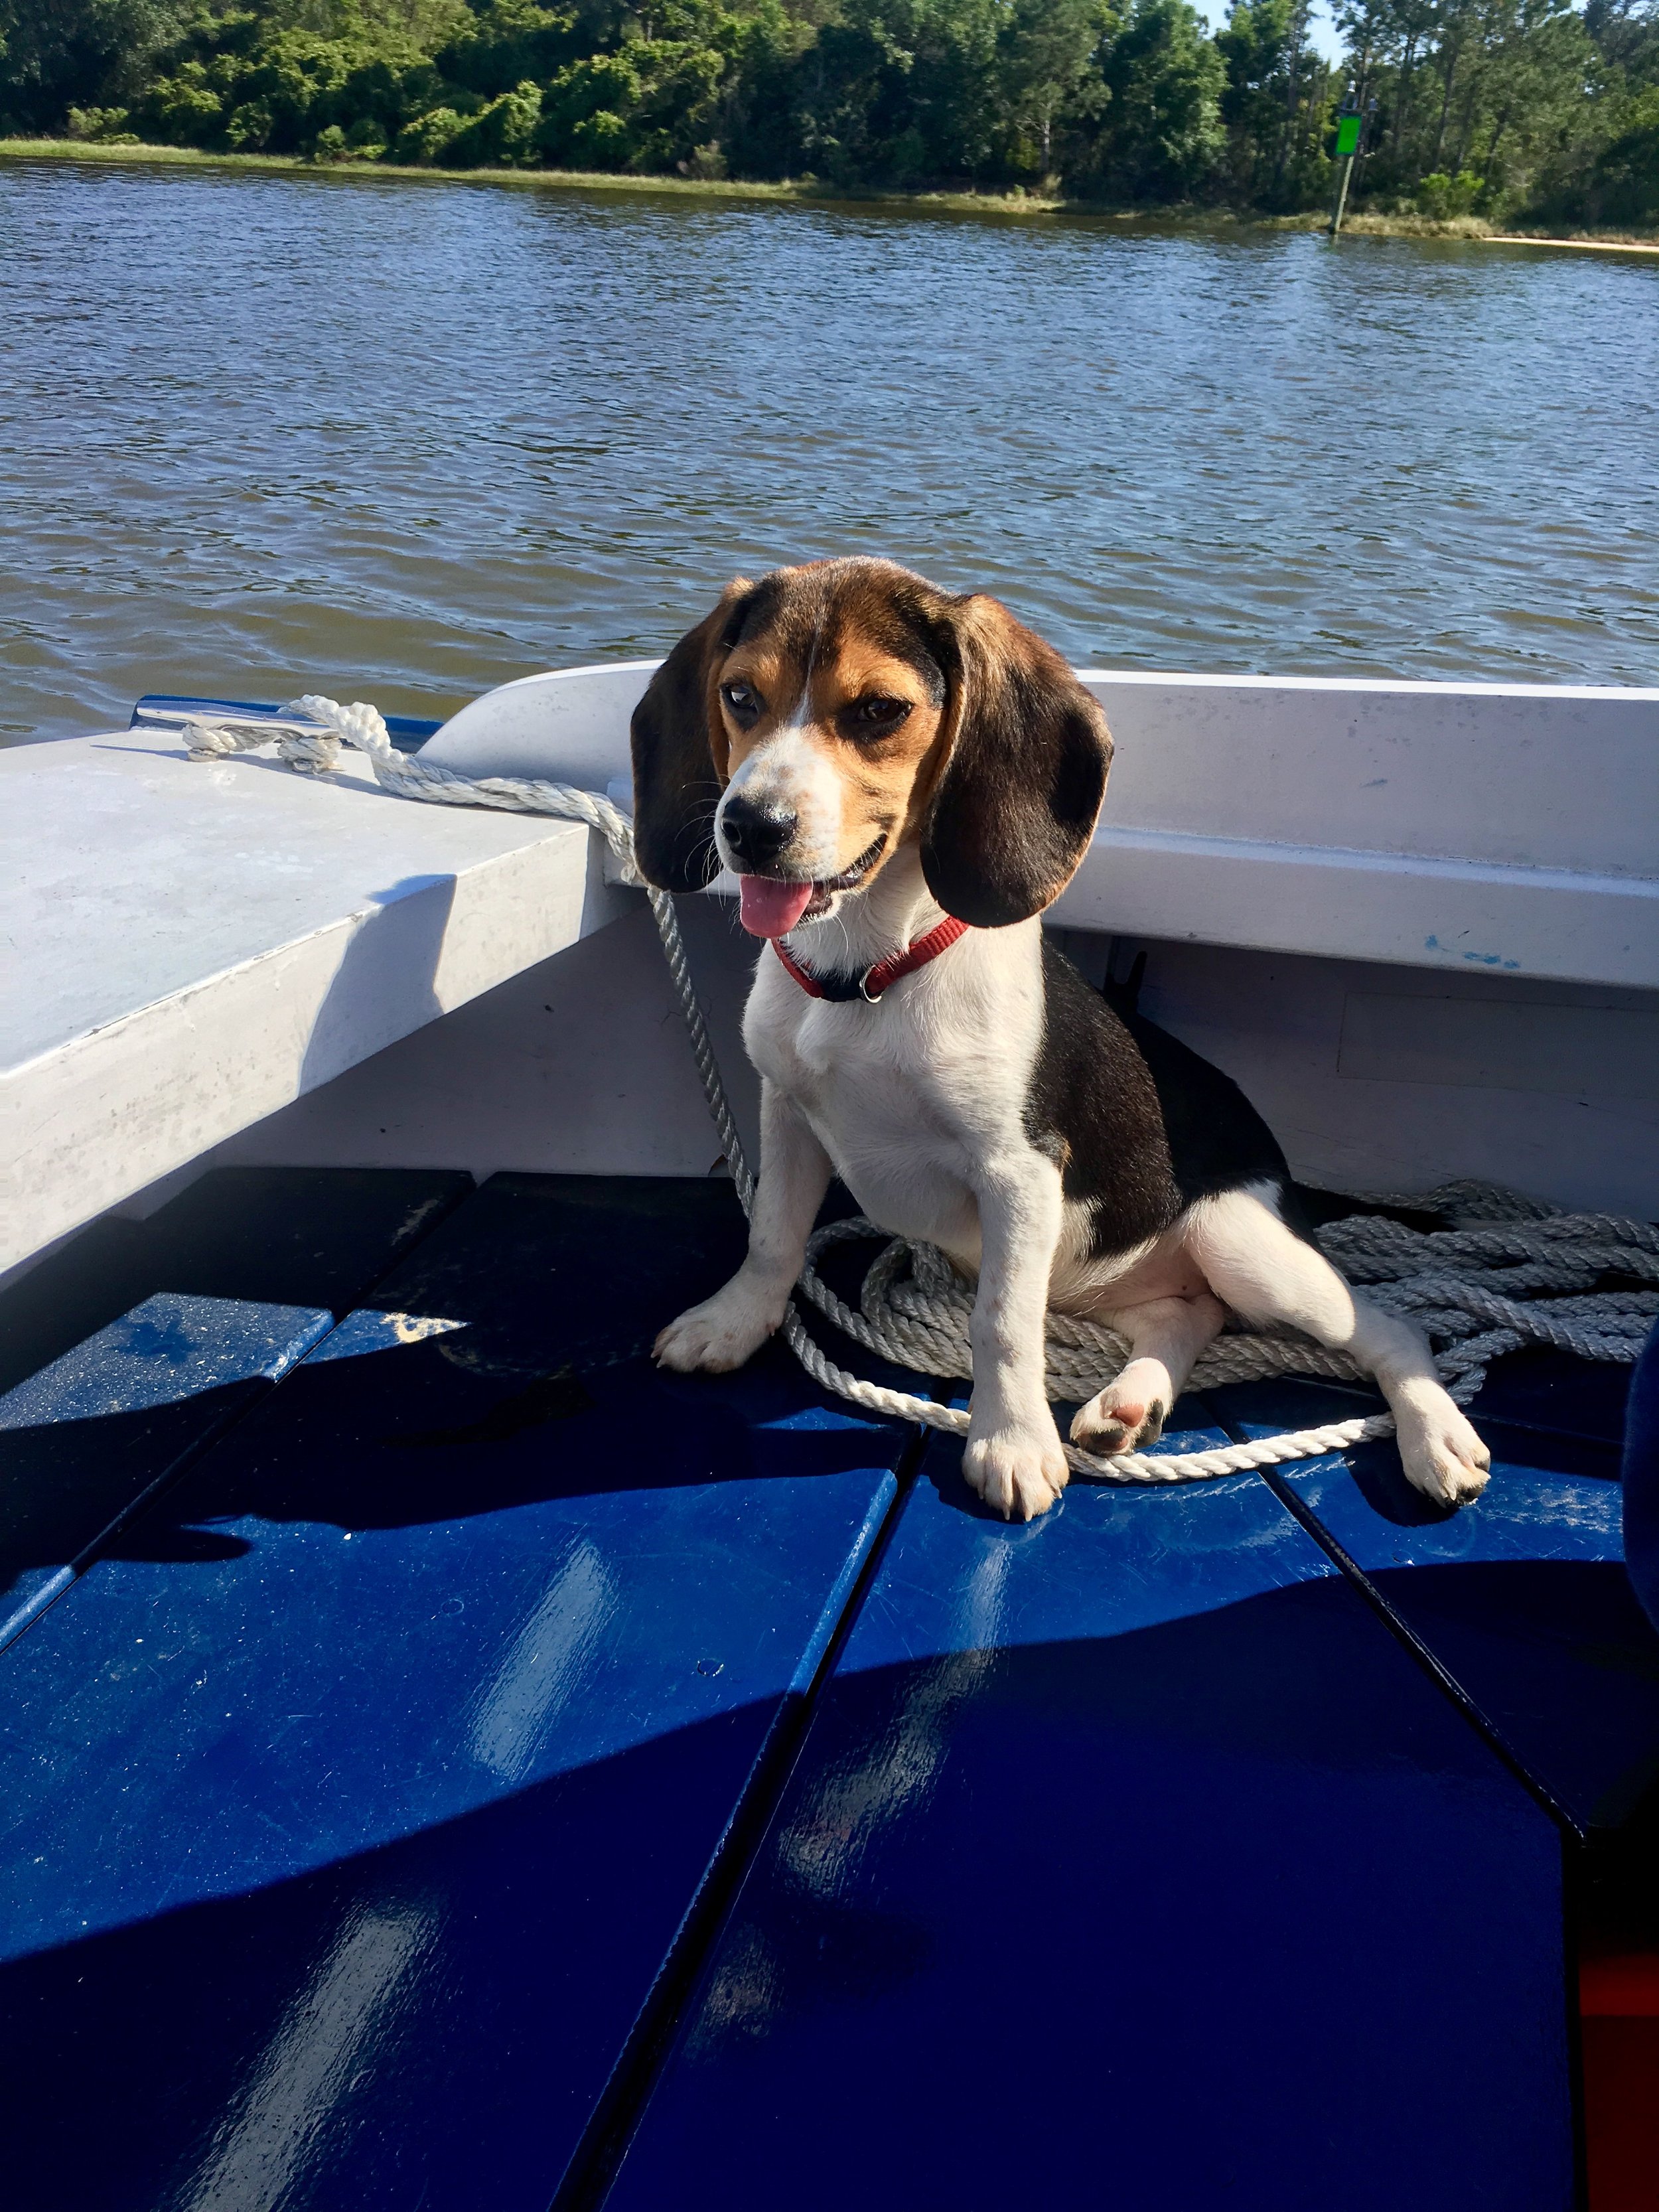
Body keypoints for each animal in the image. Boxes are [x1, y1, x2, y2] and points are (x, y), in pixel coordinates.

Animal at [637, 557, 1495, 1522]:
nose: (749, 827)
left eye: (879, 711)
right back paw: (1131, 1399)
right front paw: (732, 1323)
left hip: (1247, 1247)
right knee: (1185, 1315)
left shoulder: (1019, 1174)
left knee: (1390, 1328)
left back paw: (1435, 1436)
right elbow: (773, 1240)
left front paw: (1010, 1442)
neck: (869, 970)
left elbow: (1003, 1323)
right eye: (740, 695)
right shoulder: (787, 1113)